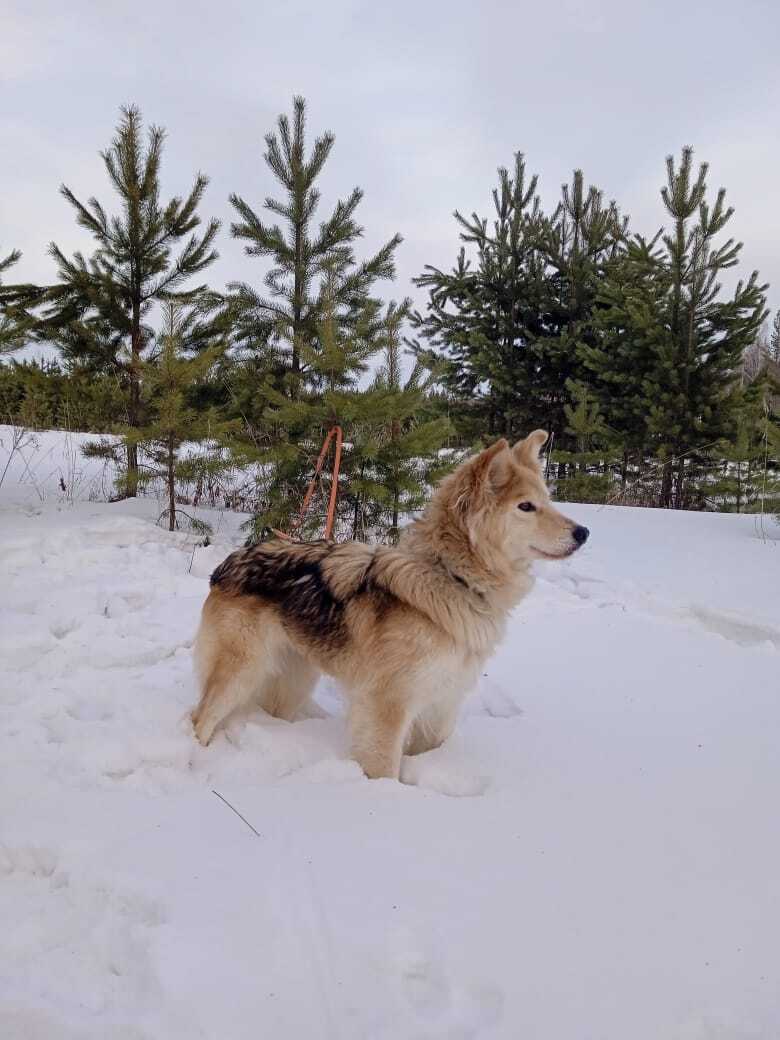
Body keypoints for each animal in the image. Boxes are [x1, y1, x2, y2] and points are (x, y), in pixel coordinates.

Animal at [192, 430, 590, 782]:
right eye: (526, 506)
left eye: (548, 501)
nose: (584, 532)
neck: (451, 576)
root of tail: (231, 561)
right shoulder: (387, 706)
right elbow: (384, 768)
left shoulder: (441, 703)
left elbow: (429, 750)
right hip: (241, 672)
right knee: (199, 720)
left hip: (293, 679)